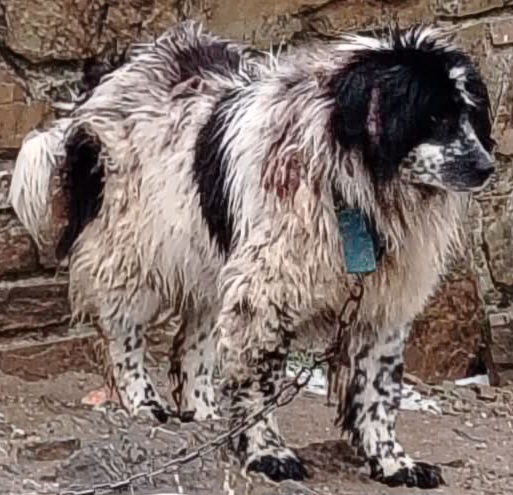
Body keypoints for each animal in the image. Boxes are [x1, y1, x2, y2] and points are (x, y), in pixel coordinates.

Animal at [9, 21, 494, 488]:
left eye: (471, 116)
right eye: (435, 115)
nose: (487, 167)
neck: (354, 187)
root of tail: (103, 86)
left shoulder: (382, 304)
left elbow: (378, 392)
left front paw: (393, 462)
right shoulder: (265, 297)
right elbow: (261, 383)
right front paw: (268, 453)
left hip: (209, 266)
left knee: (191, 345)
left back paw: (204, 415)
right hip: (131, 254)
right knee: (122, 336)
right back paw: (144, 403)